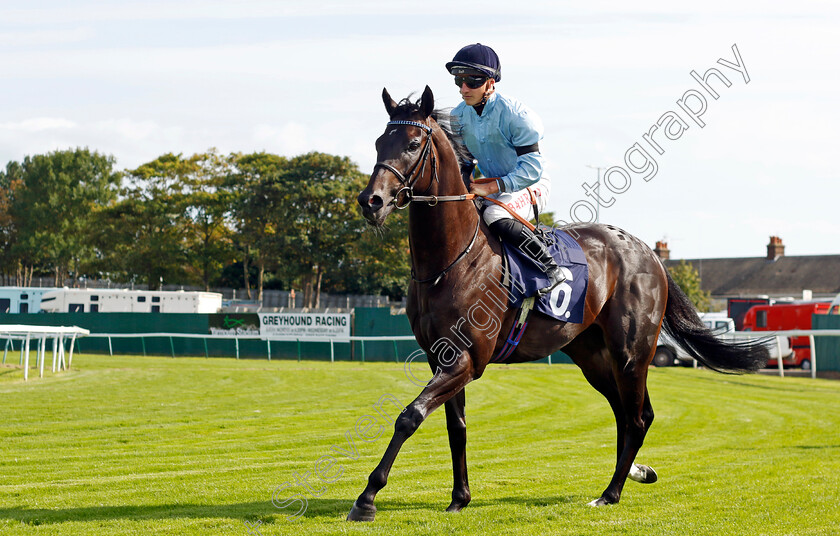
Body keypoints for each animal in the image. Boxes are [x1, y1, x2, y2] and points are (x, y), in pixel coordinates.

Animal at [348, 86, 768, 520]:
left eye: (413, 144)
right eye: (379, 142)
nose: (371, 201)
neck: (450, 261)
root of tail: (648, 252)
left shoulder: (468, 360)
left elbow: (409, 416)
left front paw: (367, 497)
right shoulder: (440, 357)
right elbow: (456, 427)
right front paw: (459, 498)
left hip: (631, 352)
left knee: (637, 418)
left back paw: (610, 492)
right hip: (591, 354)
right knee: (625, 413)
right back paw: (635, 471)